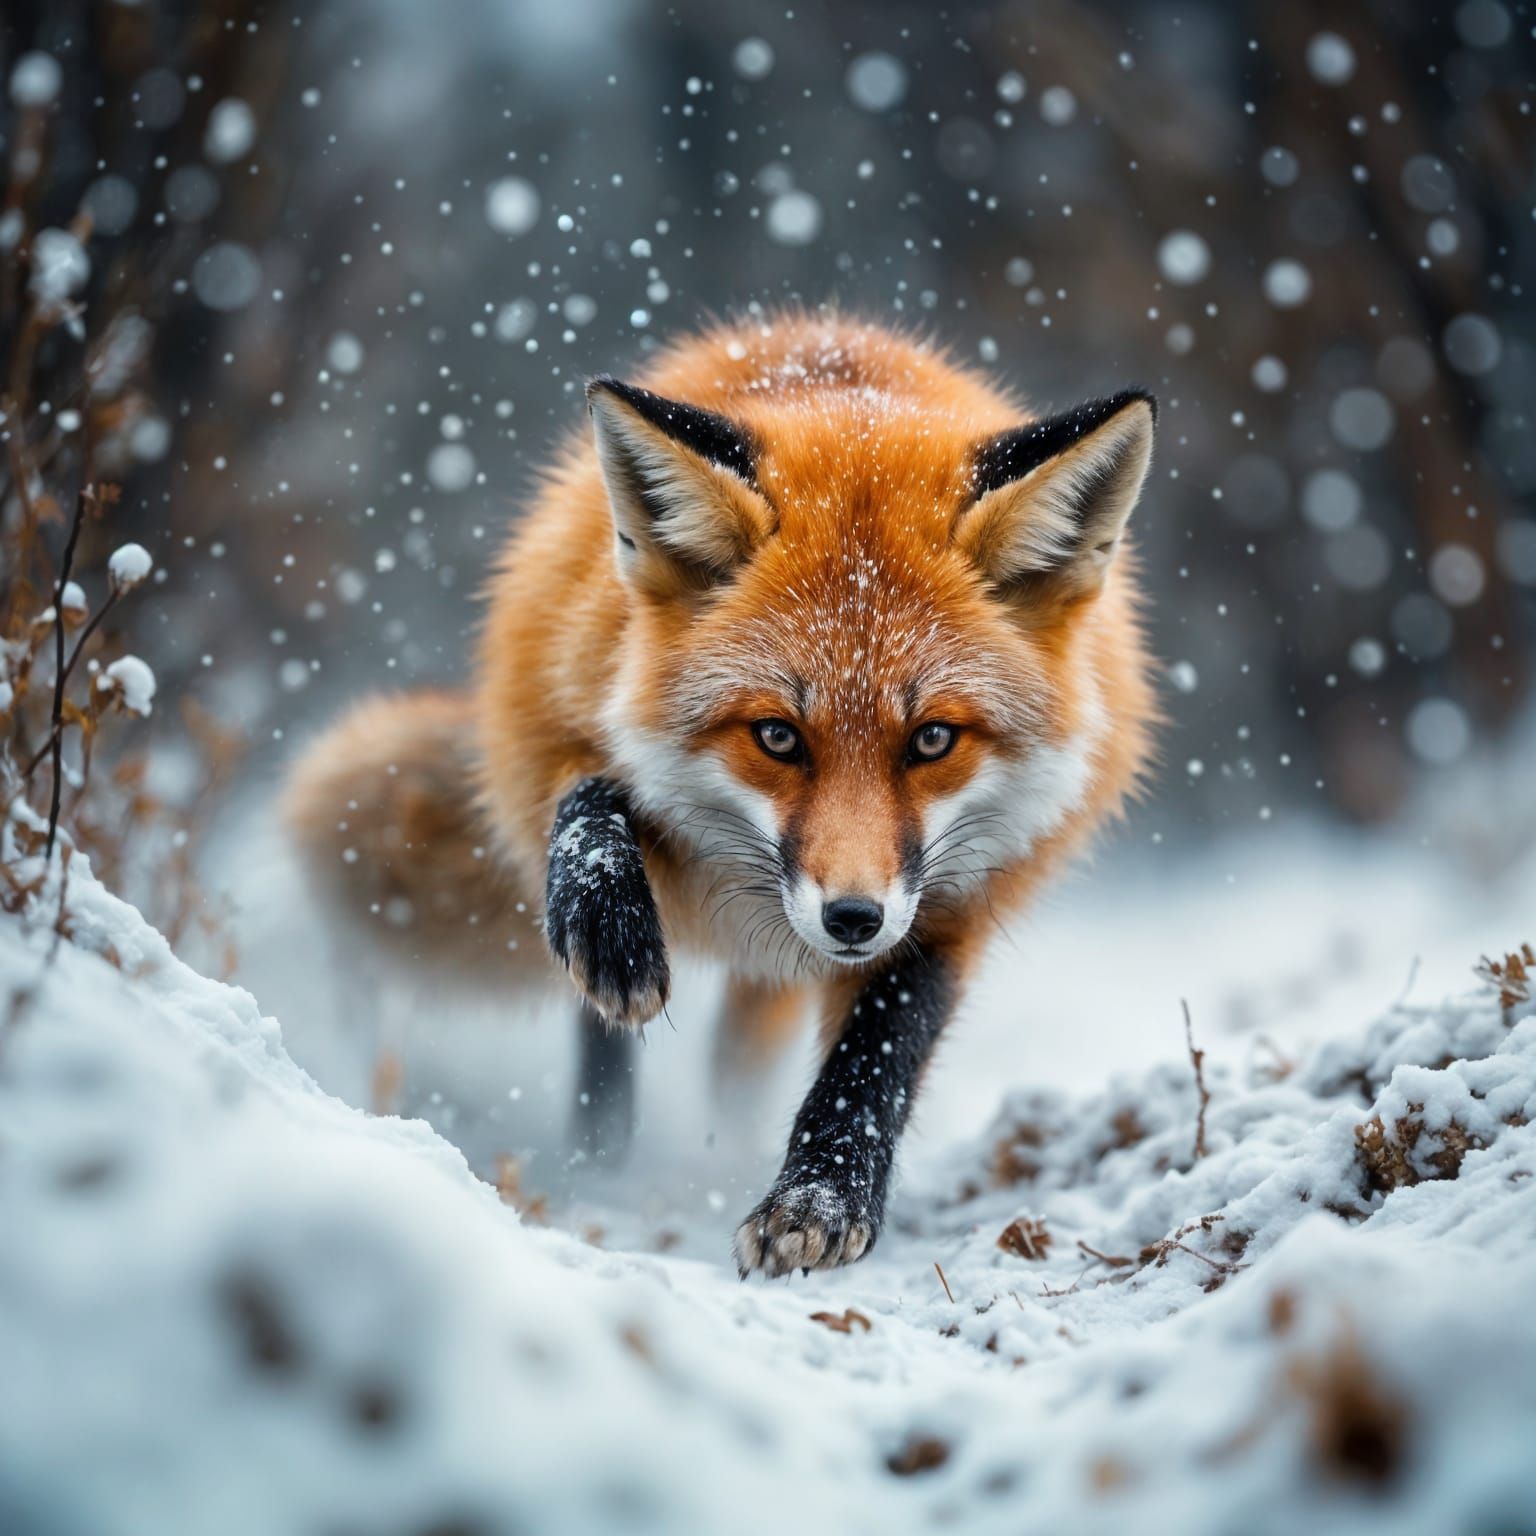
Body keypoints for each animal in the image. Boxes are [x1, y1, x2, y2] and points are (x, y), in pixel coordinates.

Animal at [285, 311, 1158, 1278]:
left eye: (933, 739)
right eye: (777, 736)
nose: (852, 919)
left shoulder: (959, 899)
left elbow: (878, 1053)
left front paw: (819, 1197)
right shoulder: (546, 725)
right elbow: (587, 796)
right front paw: (611, 922)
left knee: (740, 1066)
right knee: (602, 1035)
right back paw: (605, 1157)